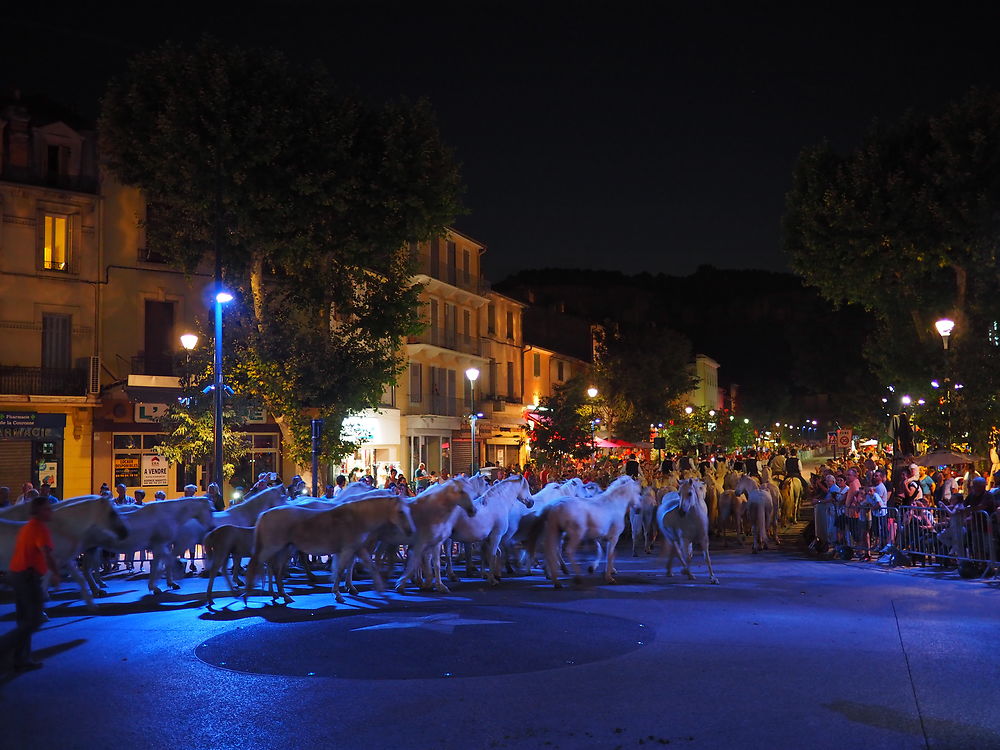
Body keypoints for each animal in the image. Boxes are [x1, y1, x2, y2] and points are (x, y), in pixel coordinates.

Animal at [0, 500, 130, 612]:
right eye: (112, 513)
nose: (125, 533)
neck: (62, 529)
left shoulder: (64, 560)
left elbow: (78, 579)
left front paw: (92, 605)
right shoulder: (56, 560)